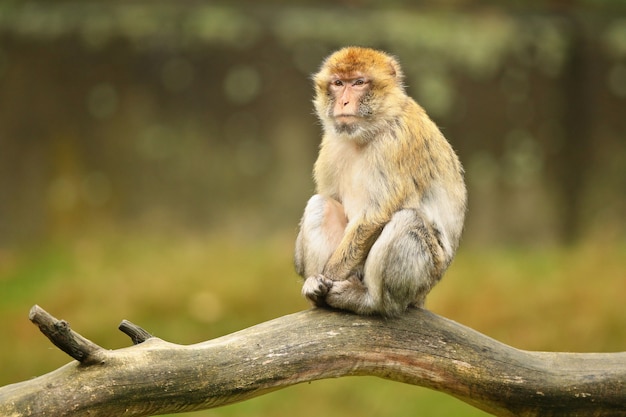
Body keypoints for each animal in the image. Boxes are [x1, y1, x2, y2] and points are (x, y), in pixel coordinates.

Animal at [292, 47, 464, 316]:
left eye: (358, 83)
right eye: (338, 83)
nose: (343, 102)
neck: (370, 130)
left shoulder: (397, 143)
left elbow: (375, 216)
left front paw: (330, 275)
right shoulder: (331, 144)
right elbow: (331, 198)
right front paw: (310, 274)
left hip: (422, 279)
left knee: (408, 220)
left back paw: (369, 300)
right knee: (321, 204)